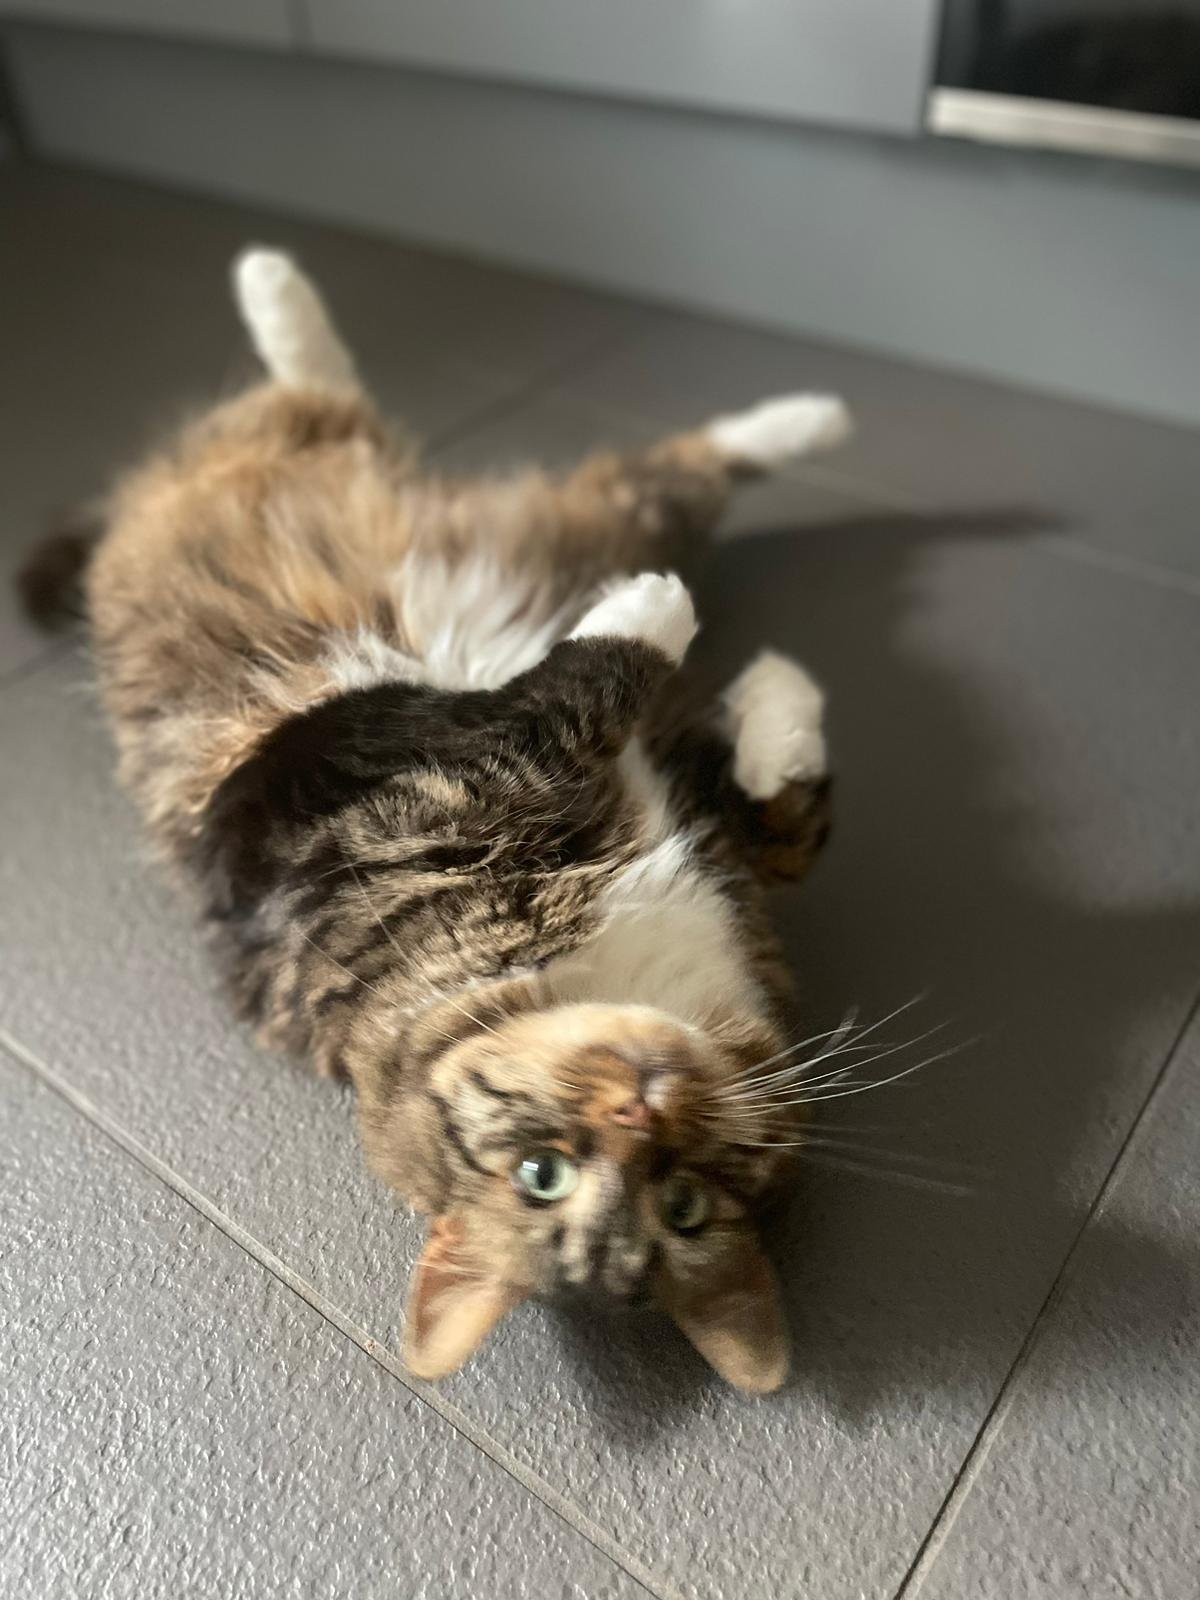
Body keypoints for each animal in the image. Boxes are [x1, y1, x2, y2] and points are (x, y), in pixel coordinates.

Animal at [30, 249, 857, 1388]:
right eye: (545, 1175)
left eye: (684, 1205)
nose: (643, 1105)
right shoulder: (397, 752)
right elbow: (576, 688)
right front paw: (664, 612)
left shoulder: (693, 816)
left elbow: (790, 812)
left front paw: (774, 688)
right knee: (322, 398)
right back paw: (271, 280)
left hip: (582, 515)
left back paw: (818, 415)